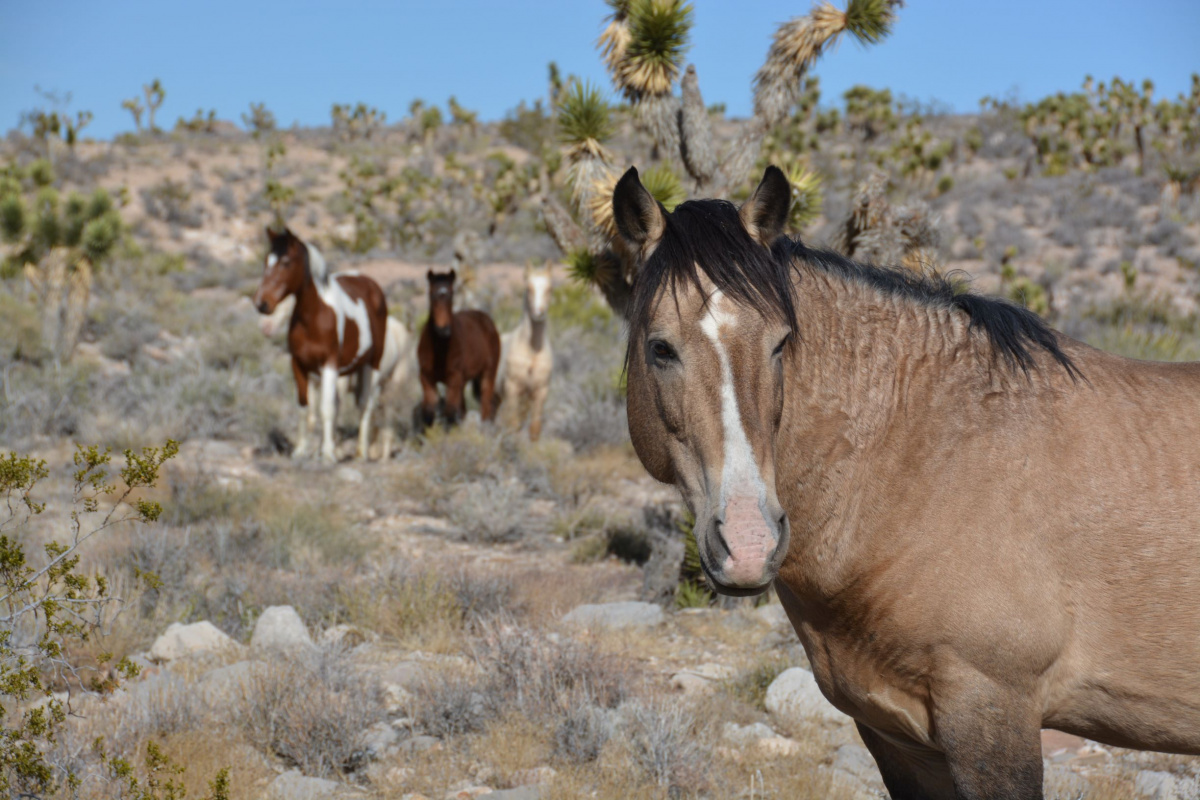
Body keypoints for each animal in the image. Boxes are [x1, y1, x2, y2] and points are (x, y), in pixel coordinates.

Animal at [250, 225, 386, 462]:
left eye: (286, 262)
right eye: (267, 260)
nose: (261, 303)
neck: (315, 315)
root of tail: (371, 284)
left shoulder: (329, 364)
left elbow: (326, 408)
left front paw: (329, 454)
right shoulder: (299, 365)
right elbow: (305, 408)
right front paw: (301, 450)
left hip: (372, 365)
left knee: (364, 405)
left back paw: (361, 452)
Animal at [417, 268, 501, 429]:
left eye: (451, 294)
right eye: (431, 294)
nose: (443, 330)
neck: (440, 350)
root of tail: (487, 321)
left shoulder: (454, 379)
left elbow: (449, 413)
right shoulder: (426, 378)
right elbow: (429, 413)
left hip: (488, 373)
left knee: (487, 404)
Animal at [494, 263, 554, 441]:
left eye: (550, 289)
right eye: (528, 288)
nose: (539, 313)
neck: (532, 351)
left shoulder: (539, 392)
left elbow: (534, 429)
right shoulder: (513, 389)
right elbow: (513, 426)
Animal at [609, 167, 1200, 800]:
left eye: (780, 343)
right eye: (660, 348)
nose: (748, 544)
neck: (926, 458)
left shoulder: (993, 715)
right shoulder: (898, 737)